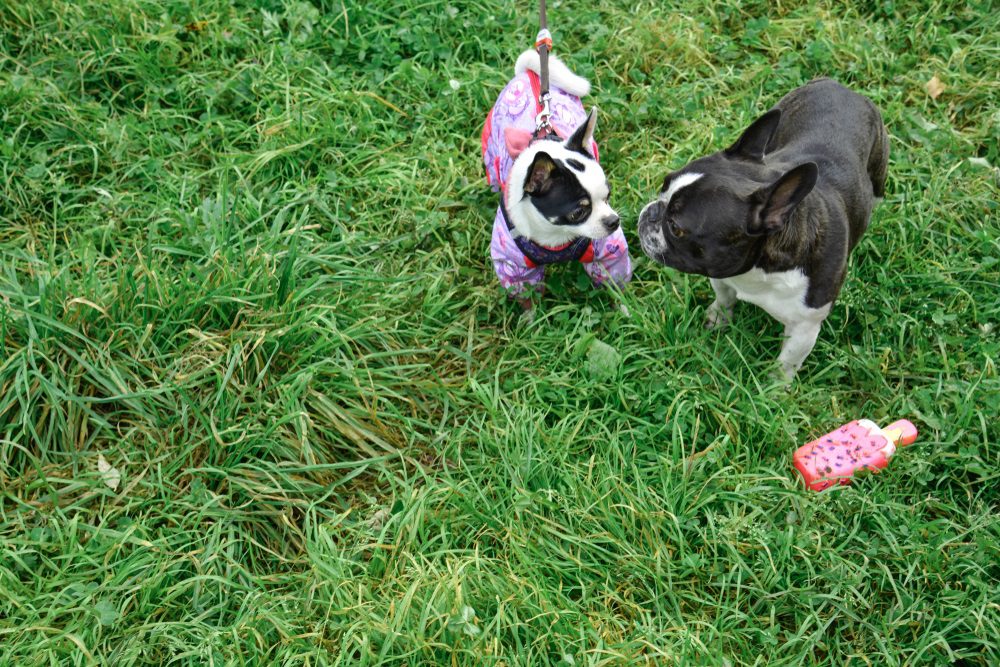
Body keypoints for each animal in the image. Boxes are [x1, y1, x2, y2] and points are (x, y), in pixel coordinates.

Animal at [636, 77, 888, 380]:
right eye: (664, 184)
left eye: (676, 227)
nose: (651, 212)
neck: (759, 270)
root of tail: (841, 87)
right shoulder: (720, 272)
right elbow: (724, 298)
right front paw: (717, 319)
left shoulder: (805, 328)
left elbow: (787, 362)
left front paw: (775, 387)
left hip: (879, 176)